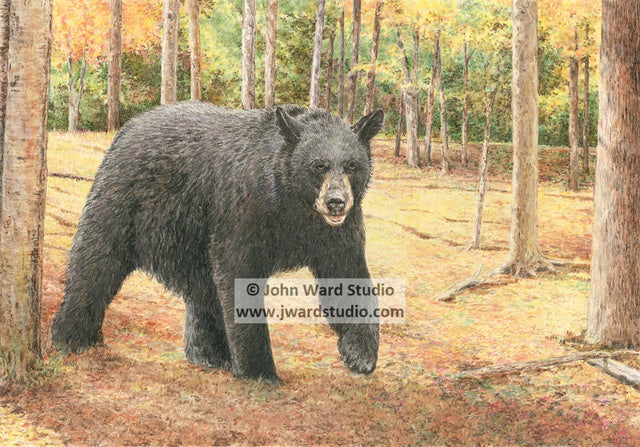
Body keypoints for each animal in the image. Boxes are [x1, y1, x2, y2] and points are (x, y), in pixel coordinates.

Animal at [51, 101, 385, 384]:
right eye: (318, 165)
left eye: (352, 165)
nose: (336, 202)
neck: (294, 204)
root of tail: (128, 128)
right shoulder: (246, 209)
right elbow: (239, 274)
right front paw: (261, 372)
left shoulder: (337, 232)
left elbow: (348, 275)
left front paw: (362, 355)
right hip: (127, 201)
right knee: (96, 260)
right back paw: (72, 338)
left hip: (188, 233)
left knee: (203, 290)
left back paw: (211, 355)